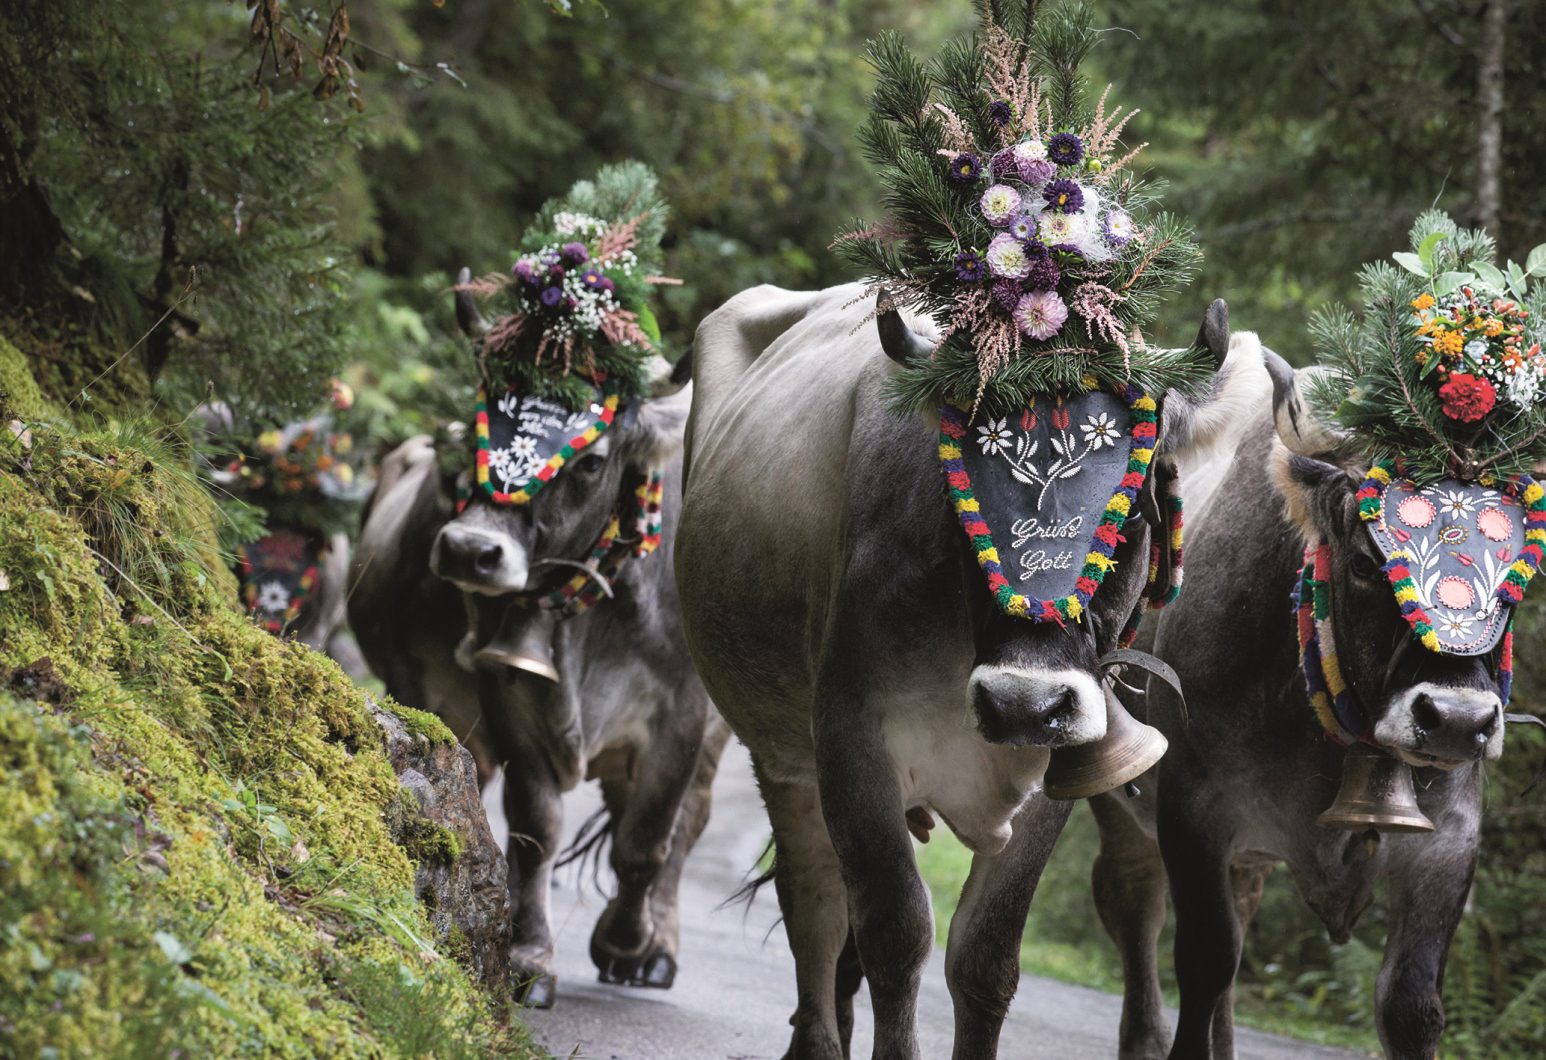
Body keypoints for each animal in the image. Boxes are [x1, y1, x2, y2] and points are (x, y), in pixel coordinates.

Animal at [350, 278, 729, 1007]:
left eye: (590, 460)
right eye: (481, 424)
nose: (470, 549)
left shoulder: (683, 713)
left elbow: (647, 840)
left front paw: (628, 942)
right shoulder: (505, 691)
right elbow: (536, 828)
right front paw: (529, 958)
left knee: (688, 822)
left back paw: (654, 949)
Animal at [677, 284, 1267, 1060]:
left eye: (1134, 511)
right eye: (961, 508)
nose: (1021, 703)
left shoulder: (1060, 766)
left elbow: (985, 956)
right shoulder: (850, 739)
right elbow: (895, 931)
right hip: (781, 753)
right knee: (815, 902)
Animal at [1094, 333, 1527, 1060]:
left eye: (1522, 574)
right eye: (1365, 562)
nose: (1456, 721)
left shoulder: (1449, 842)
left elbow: (1411, 1004)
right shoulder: (1192, 808)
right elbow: (1205, 961)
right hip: (1118, 800)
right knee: (1132, 906)